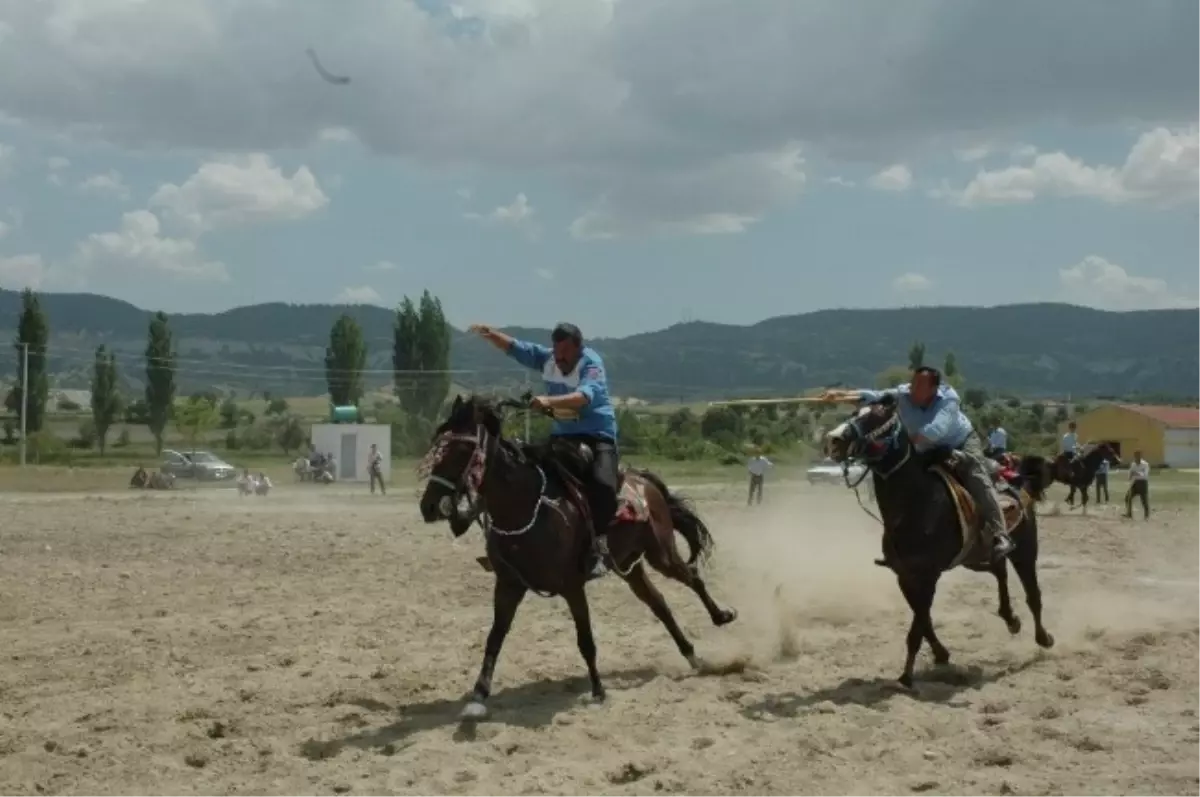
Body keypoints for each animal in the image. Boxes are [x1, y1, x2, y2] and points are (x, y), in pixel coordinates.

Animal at [422, 396, 739, 720]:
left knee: (692, 577)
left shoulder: (572, 586)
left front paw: (598, 690)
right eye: (436, 444)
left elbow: (585, 639)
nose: (429, 506)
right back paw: (692, 656)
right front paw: (478, 696)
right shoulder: (508, 585)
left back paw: (721, 617)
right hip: (630, 566)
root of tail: (643, 480)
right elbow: (495, 638)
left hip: (661, 554)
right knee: (659, 604)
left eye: (462, 449)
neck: (526, 506)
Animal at [825, 400, 1051, 686]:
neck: (917, 502)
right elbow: (923, 620)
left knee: (1033, 594)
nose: (834, 440)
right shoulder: (905, 576)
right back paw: (1010, 619)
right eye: (855, 412)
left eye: (877, 417)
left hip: (1025, 549)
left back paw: (1044, 638)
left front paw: (906, 677)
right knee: (999, 571)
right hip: (976, 557)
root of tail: (1017, 476)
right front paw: (941, 654)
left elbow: (918, 626)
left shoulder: (928, 575)